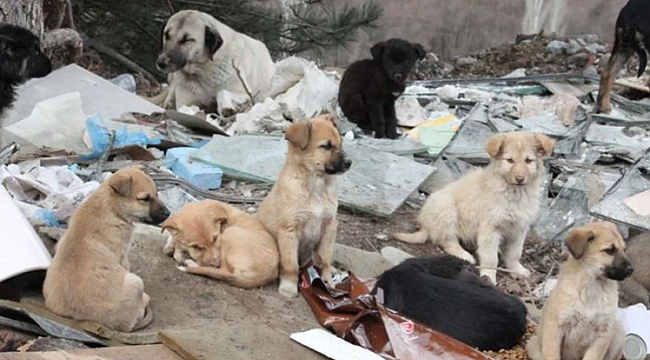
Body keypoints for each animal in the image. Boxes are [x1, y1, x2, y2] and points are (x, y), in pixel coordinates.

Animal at [42, 167, 170, 334]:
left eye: (157, 194)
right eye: (145, 199)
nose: (168, 214)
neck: (110, 206)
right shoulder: (123, 256)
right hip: (135, 282)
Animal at [256, 113, 352, 298]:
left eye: (341, 143)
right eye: (326, 146)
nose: (349, 163)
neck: (316, 185)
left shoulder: (329, 226)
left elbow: (325, 258)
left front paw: (328, 282)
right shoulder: (289, 231)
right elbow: (291, 264)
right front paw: (289, 287)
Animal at [390, 132, 552, 284]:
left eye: (528, 161)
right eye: (510, 160)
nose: (519, 179)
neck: (514, 193)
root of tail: (426, 226)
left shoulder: (519, 228)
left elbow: (515, 253)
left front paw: (517, 270)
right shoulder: (490, 228)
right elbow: (491, 257)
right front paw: (489, 276)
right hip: (445, 208)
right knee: (447, 241)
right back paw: (464, 255)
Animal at [520, 221, 632, 360]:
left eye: (624, 249)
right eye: (610, 250)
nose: (631, 270)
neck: (592, 286)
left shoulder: (603, 332)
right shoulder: (555, 327)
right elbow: (553, 354)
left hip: (618, 334)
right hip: (533, 346)